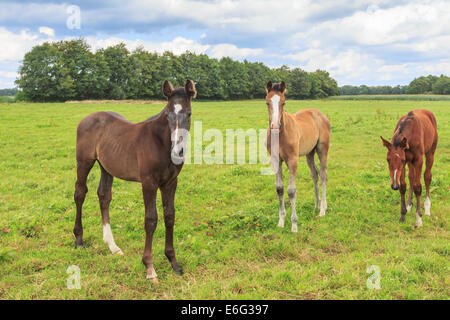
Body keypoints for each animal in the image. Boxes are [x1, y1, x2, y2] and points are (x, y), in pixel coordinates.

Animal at [74, 79, 197, 280]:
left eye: (189, 113)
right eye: (167, 114)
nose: (178, 151)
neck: (159, 142)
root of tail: (87, 118)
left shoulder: (171, 183)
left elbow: (169, 216)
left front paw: (173, 262)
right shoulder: (149, 183)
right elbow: (151, 220)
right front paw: (149, 268)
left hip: (106, 166)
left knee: (104, 196)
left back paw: (112, 246)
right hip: (84, 162)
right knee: (79, 194)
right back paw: (79, 239)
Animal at [264, 80, 330, 232]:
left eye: (283, 102)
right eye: (267, 102)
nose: (275, 126)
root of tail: (320, 114)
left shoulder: (292, 160)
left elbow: (291, 191)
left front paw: (294, 224)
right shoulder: (276, 160)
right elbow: (280, 189)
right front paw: (281, 221)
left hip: (322, 149)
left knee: (323, 175)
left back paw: (322, 210)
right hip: (309, 153)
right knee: (314, 175)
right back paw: (316, 205)